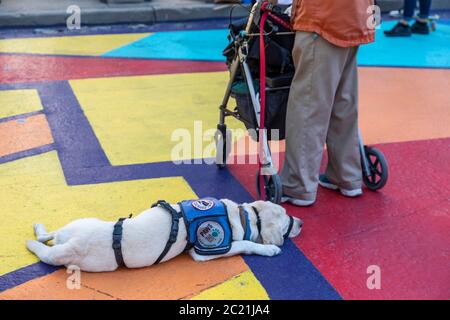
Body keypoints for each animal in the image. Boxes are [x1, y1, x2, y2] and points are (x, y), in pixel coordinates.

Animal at [25, 199, 302, 272]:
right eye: (286, 217)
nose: (301, 222)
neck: (242, 215)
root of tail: (72, 243)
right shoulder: (206, 250)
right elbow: (245, 243)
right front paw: (269, 249)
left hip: (74, 228)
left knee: (47, 236)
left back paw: (38, 229)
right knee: (41, 250)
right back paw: (31, 241)